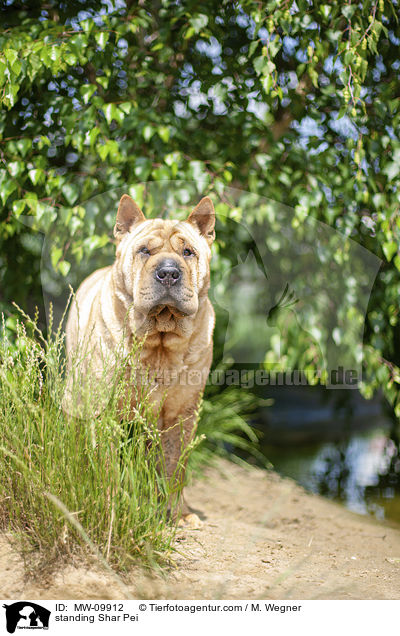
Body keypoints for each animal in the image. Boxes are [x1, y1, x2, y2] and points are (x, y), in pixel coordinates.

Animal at [65, 195, 216, 520]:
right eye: (145, 250)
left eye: (188, 252)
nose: (169, 272)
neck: (160, 344)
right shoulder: (107, 410)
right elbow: (107, 464)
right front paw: (110, 505)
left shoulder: (181, 414)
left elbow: (174, 467)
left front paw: (177, 514)